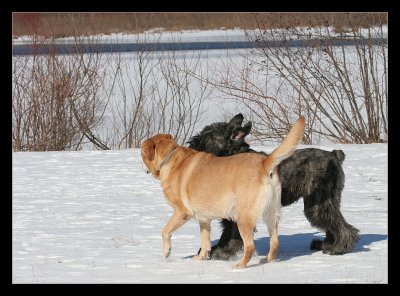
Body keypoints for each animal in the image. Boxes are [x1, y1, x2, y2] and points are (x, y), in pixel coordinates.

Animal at [189, 113, 360, 260]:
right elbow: (226, 235)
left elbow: (234, 236)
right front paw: (214, 250)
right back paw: (326, 244)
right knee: (333, 224)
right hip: (318, 204)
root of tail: (335, 155)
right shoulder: (229, 215)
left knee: (344, 227)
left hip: (321, 203)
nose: (192, 144)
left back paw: (338, 248)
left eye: (208, 135)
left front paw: (225, 253)